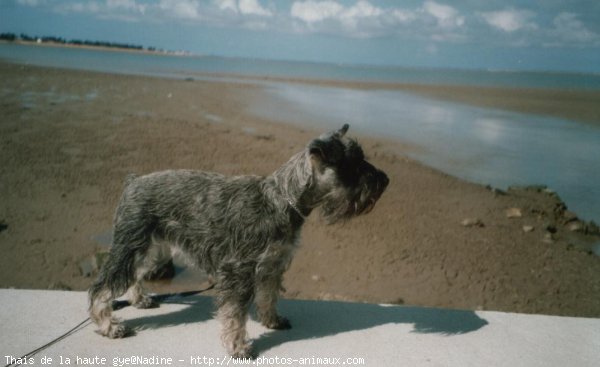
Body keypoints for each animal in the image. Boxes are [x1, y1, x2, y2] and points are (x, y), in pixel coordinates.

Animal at [88, 124, 390, 360]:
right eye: (353, 164)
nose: (385, 180)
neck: (281, 199)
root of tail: (133, 181)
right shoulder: (238, 272)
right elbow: (235, 315)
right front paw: (238, 347)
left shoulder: (272, 265)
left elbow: (268, 297)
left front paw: (272, 320)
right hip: (131, 244)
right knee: (103, 287)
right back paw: (109, 327)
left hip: (151, 248)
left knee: (135, 274)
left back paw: (140, 299)